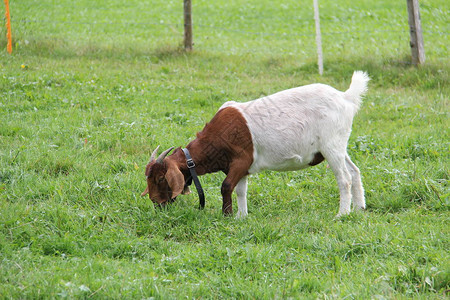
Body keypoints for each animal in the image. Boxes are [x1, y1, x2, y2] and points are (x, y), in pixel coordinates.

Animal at [142, 70, 370, 217]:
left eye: (161, 178)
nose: (156, 203)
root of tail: (345, 97)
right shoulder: (240, 167)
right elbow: (240, 190)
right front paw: (241, 217)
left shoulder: (241, 159)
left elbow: (226, 187)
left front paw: (227, 216)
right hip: (338, 145)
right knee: (354, 171)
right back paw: (359, 209)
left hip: (332, 145)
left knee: (344, 178)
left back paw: (342, 214)